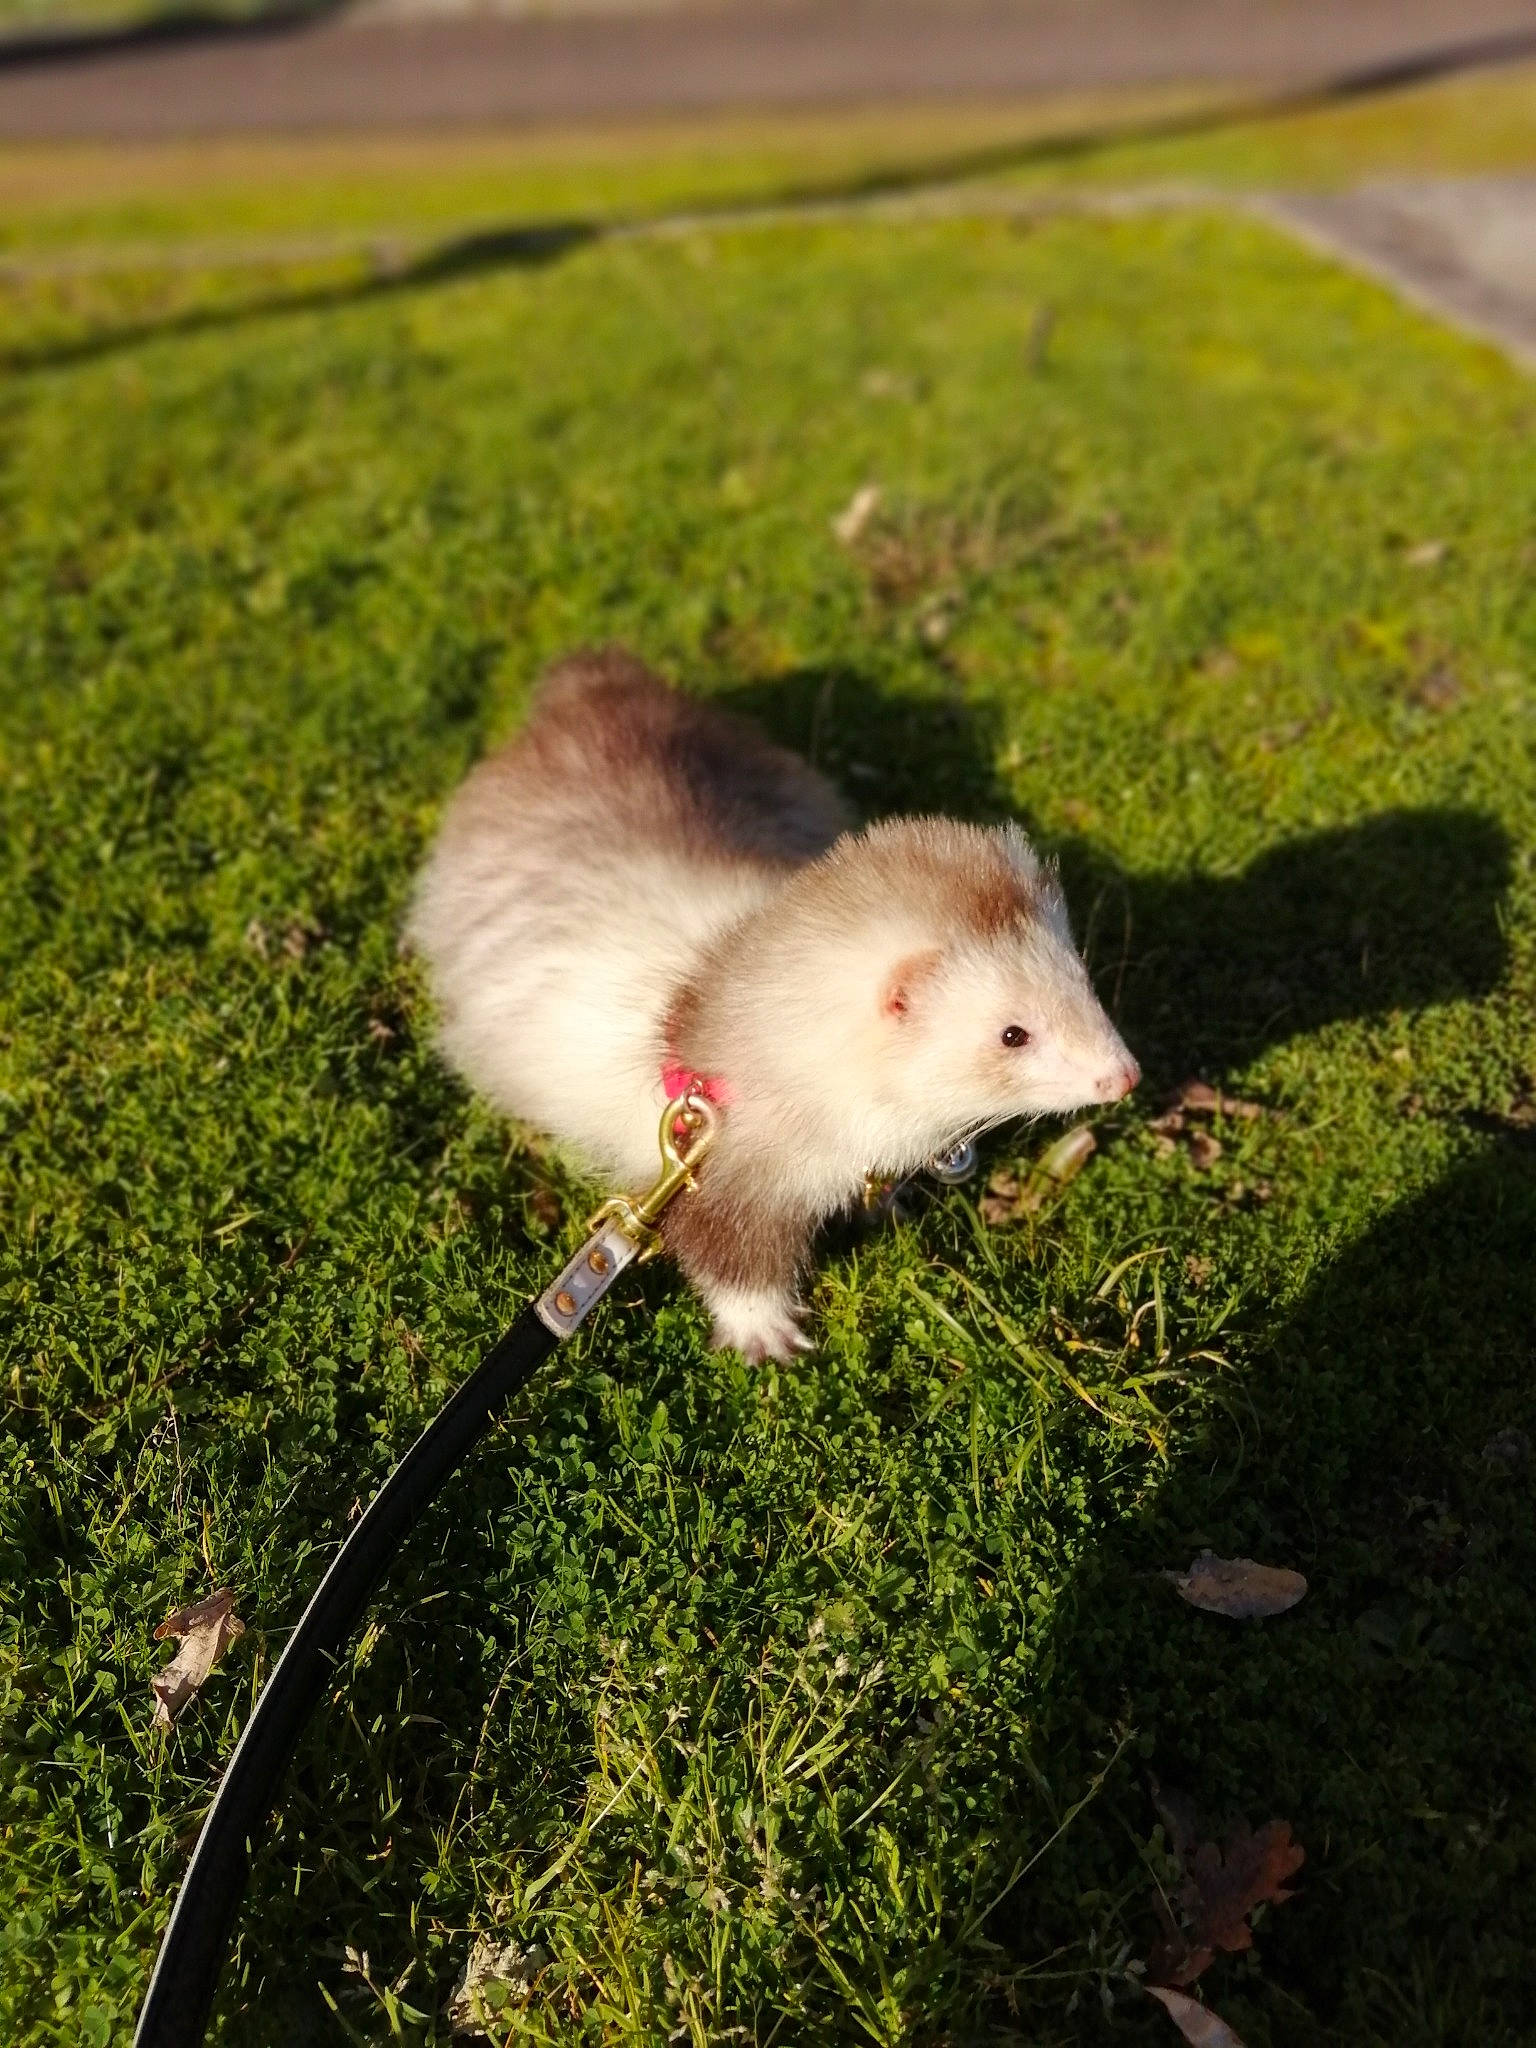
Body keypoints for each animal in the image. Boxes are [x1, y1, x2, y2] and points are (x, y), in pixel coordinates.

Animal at [408, 648, 1139, 1361]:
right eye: (1013, 1033)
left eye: (1080, 975)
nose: (1124, 1075)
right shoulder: (717, 1184)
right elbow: (731, 1260)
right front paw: (764, 1333)